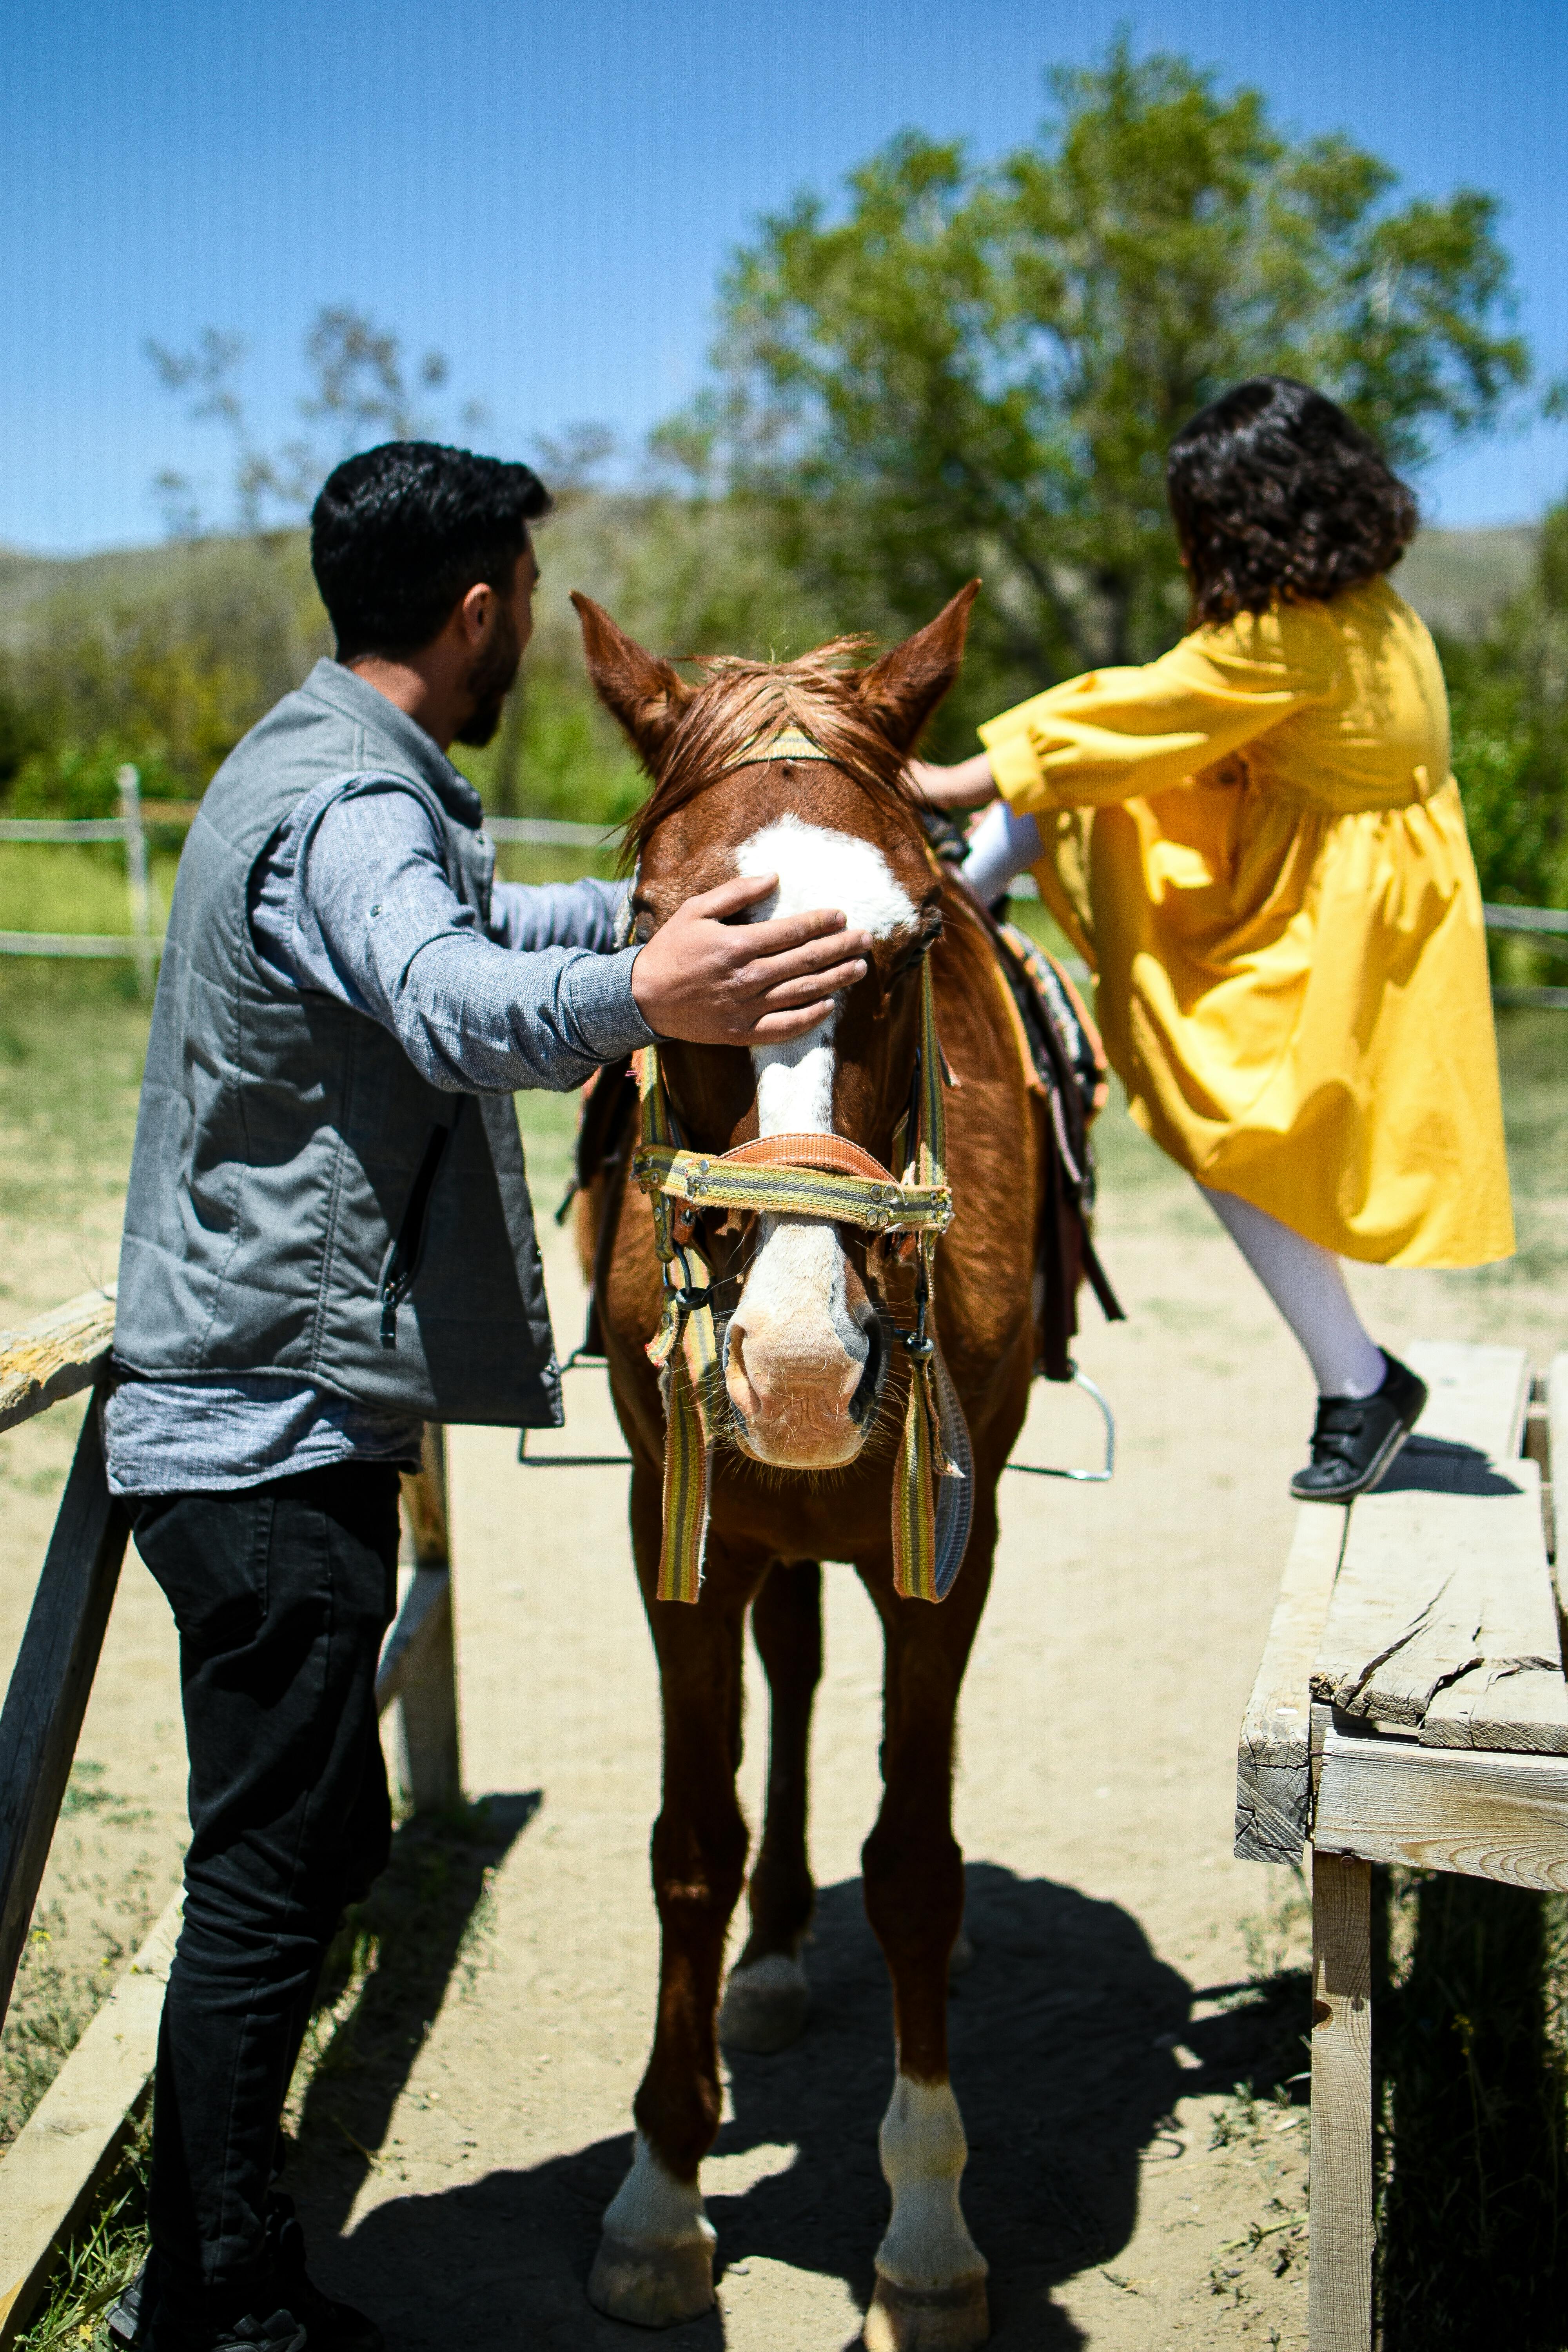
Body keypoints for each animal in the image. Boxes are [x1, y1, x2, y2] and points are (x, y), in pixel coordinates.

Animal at [568, 584, 1077, 2351]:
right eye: (657, 927)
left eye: (912, 942)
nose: (793, 1365)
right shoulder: (682, 1538)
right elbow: (688, 1846)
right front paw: (658, 2195)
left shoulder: (946, 1541)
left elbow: (915, 1862)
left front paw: (925, 2227)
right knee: (788, 1677)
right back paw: (776, 1958)